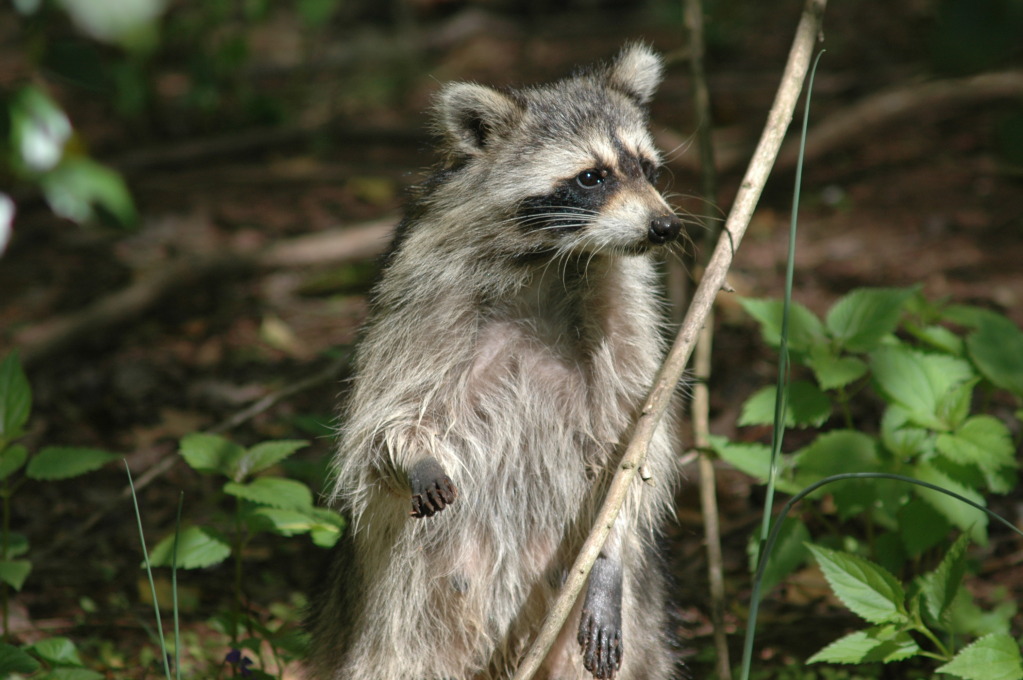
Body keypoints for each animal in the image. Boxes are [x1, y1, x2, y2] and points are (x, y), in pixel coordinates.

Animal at [306, 43, 683, 678]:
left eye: (648, 169)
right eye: (592, 176)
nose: (665, 226)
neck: (551, 259)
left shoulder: (626, 301)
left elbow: (630, 445)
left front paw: (610, 552)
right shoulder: (422, 291)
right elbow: (382, 418)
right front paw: (411, 451)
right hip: (407, 610)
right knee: (396, 657)